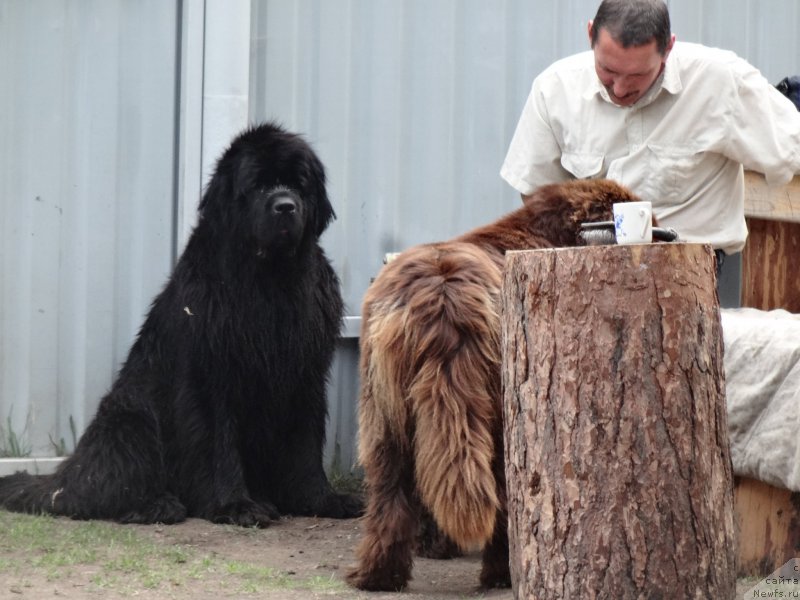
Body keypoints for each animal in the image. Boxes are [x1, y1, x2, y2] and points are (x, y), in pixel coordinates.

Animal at [0, 122, 362, 524]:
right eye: (257, 185)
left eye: (299, 184)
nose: (285, 205)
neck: (270, 279)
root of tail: (63, 476)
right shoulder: (213, 375)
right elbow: (219, 443)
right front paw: (234, 504)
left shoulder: (305, 374)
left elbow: (306, 443)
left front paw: (321, 499)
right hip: (130, 420)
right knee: (97, 493)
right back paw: (158, 504)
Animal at [346, 178, 640, 592]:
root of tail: (444, 296)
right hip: (499, 404)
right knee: (501, 491)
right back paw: (501, 571)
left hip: (385, 407)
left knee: (392, 487)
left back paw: (378, 576)